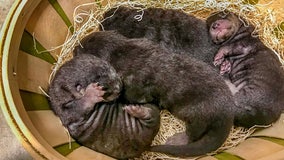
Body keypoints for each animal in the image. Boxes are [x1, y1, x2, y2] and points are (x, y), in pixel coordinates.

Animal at [74, 30, 235, 157]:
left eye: (79, 52)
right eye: (84, 40)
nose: (74, 48)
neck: (123, 53)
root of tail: (226, 112)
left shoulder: (134, 85)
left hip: (198, 114)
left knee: (194, 133)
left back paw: (177, 139)